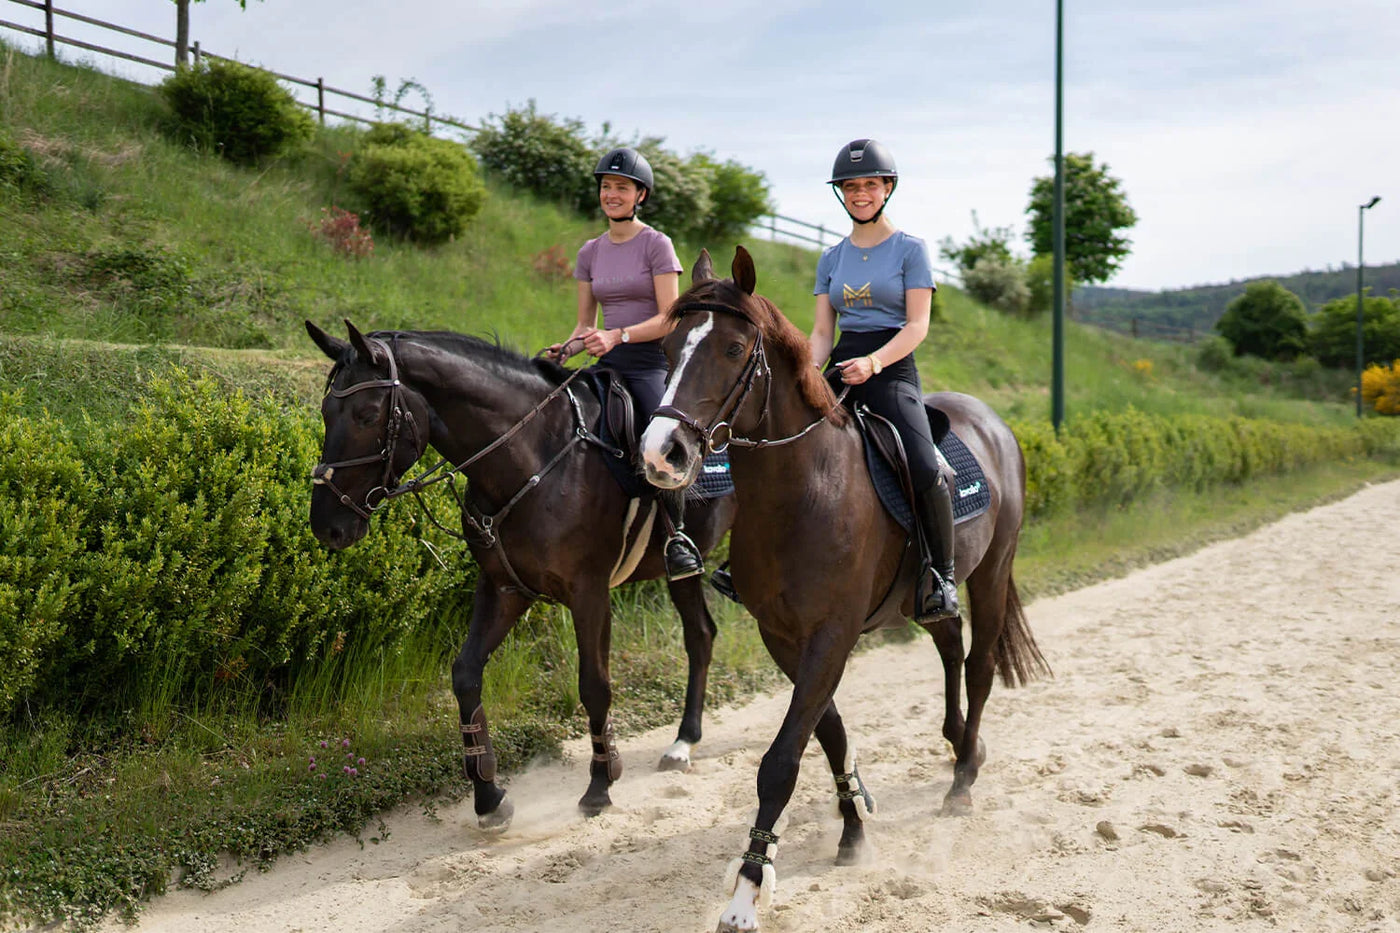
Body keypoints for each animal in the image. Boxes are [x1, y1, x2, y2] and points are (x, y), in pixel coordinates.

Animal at [306, 320, 736, 830]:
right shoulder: (504, 587)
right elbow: (465, 674)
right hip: (682, 577)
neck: (532, 458)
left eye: (368, 414)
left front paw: (600, 783)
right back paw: (683, 742)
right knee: (701, 635)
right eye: (326, 411)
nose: (326, 526)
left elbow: (594, 685)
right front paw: (488, 795)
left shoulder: (589, 592)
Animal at [639, 248, 1049, 932]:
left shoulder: (831, 635)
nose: (661, 453)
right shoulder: (783, 636)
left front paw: (748, 889)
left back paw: (963, 778)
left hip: (993, 572)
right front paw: (853, 824)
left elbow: (780, 761)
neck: (806, 488)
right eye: (668, 346)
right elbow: (826, 730)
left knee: (980, 663)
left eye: (732, 348)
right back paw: (960, 743)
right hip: (930, 595)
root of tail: (991, 420)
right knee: (949, 645)